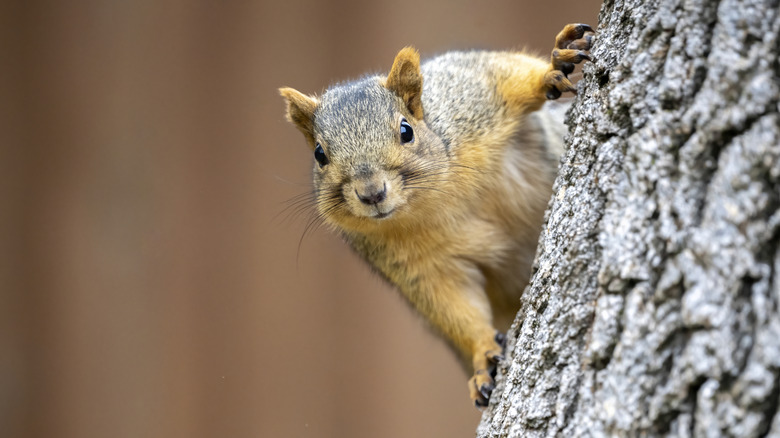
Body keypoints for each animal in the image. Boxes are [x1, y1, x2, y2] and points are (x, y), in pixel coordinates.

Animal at [280, 23, 594, 407]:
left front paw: (554, 64)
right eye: (319, 154)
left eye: (406, 130)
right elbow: (456, 307)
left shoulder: (472, 95)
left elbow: (510, 76)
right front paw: (484, 356)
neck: (433, 200)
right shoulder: (421, 267)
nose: (372, 193)